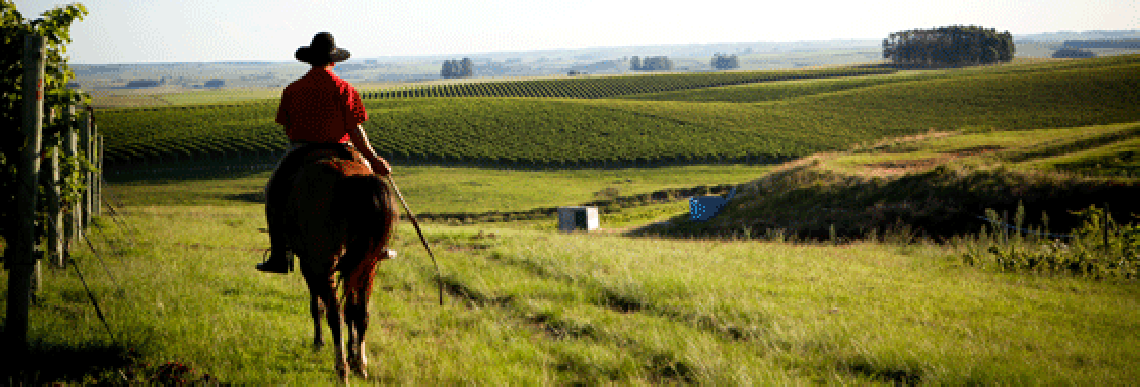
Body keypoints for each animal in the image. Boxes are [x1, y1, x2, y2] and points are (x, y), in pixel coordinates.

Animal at [282, 149, 399, 383]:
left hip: (325, 263)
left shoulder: (309, 265)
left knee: (334, 315)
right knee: (361, 312)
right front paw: (353, 352)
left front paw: (319, 342)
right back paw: (360, 365)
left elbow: (317, 305)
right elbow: (351, 309)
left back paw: (341, 369)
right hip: (368, 264)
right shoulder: (351, 266)